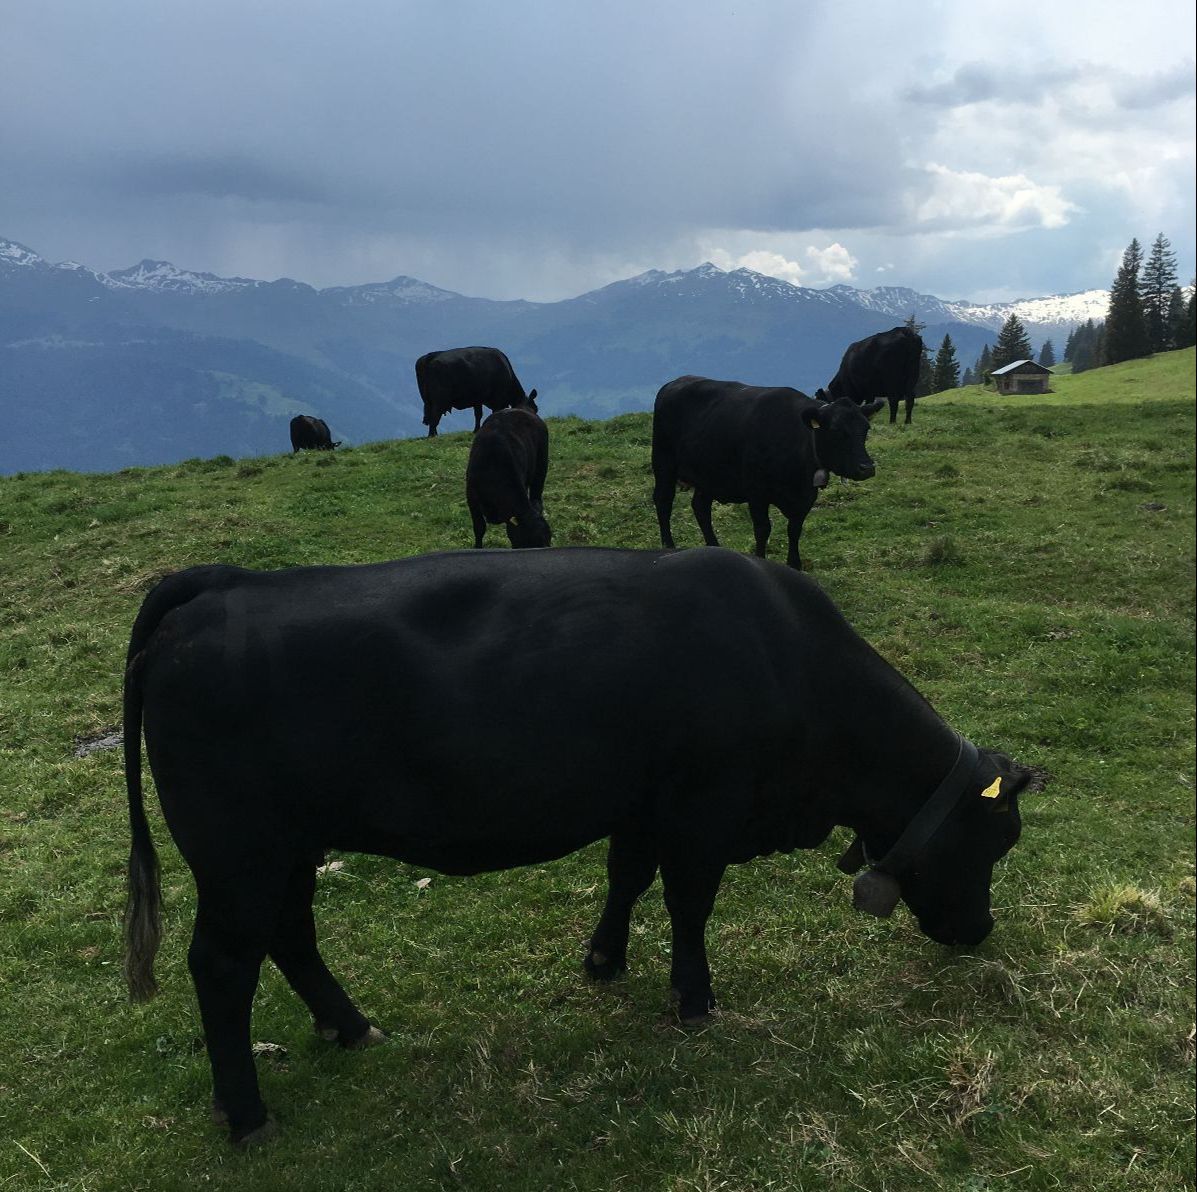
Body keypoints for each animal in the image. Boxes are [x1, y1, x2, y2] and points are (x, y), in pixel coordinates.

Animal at [122, 547, 1038, 1144]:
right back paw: (246, 1114)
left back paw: (352, 1029)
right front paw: (694, 999)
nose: (978, 931)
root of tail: (221, 582)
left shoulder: (640, 799)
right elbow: (688, 901)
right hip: (238, 852)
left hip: (287, 848)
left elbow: (626, 875)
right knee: (223, 965)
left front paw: (604, 960)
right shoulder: (703, 805)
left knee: (291, 934)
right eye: (995, 840)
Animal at [651, 375, 885, 570]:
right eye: (836, 430)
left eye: (865, 429)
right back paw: (668, 545)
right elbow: (763, 529)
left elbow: (794, 529)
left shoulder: (805, 497)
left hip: (708, 475)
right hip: (663, 463)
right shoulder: (757, 492)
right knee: (663, 501)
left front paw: (795, 564)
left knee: (700, 507)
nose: (867, 467)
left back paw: (714, 546)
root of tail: (675, 382)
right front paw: (761, 560)